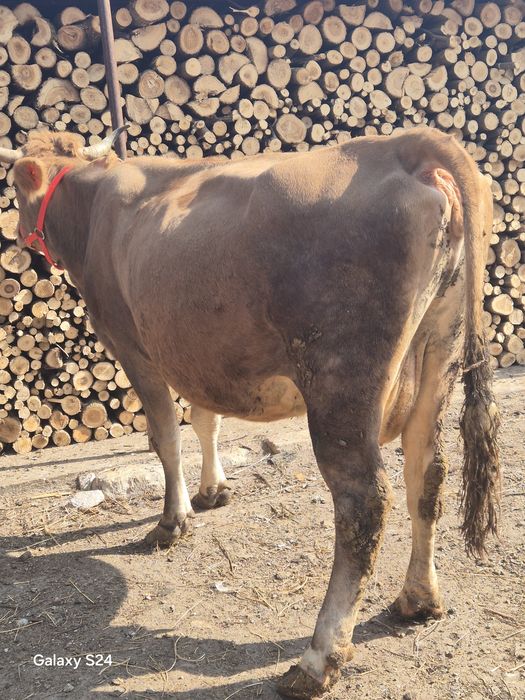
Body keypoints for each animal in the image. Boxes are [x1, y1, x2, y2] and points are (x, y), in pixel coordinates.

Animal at [0, 126, 500, 698]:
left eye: (16, 186)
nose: (18, 233)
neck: (93, 200)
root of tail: (406, 145)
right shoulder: (195, 351)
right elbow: (205, 419)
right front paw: (212, 490)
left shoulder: (131, 343)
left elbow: (165, 435)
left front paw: (172, 522)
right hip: (440, 350)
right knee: (428, 473)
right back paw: (419, 598)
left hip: (340, 379)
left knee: (365, 503)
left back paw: (317, 660)